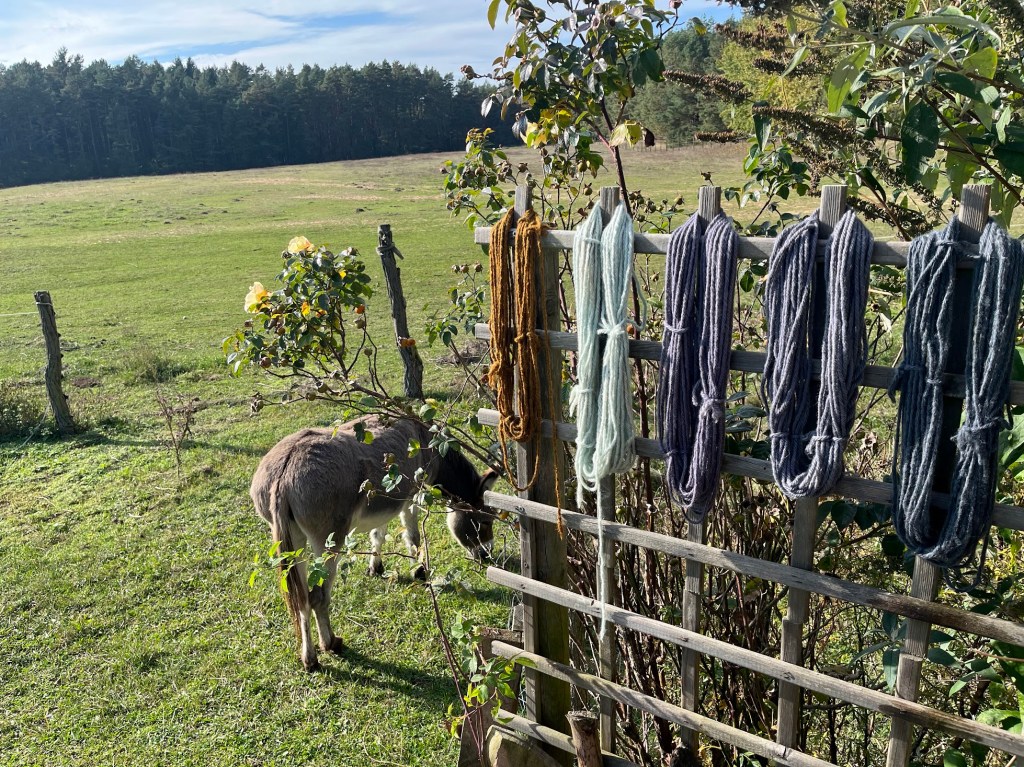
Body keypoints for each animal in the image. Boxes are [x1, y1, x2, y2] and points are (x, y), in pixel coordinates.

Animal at [251, 415, 498, 671]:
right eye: (485, 522)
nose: (488, 556)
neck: (432, 446)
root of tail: (284, 474)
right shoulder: (413, 494)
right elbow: (413, 536)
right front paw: (420, 572)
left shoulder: (386, 500)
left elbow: (378, 534)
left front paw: (376, 567)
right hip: (329, 539)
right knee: (318, 596)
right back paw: (329, 644)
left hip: (293, 541)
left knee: (300, 599)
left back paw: (309, 659)